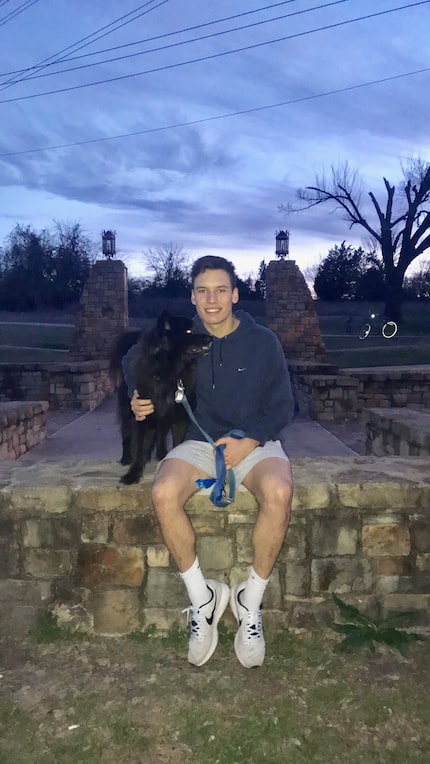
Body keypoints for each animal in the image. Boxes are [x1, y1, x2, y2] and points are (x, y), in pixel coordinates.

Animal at [111, 310, 212, 484]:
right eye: (189, 331)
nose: (210, 338)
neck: (170, 373)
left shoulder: (179, 418)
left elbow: (177, 443)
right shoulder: (144, 416)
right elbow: (140, 447)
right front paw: (133, 474)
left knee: (161, 434)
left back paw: (161, 454)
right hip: (128, 411)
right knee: (127, 433)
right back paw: (126, 458)